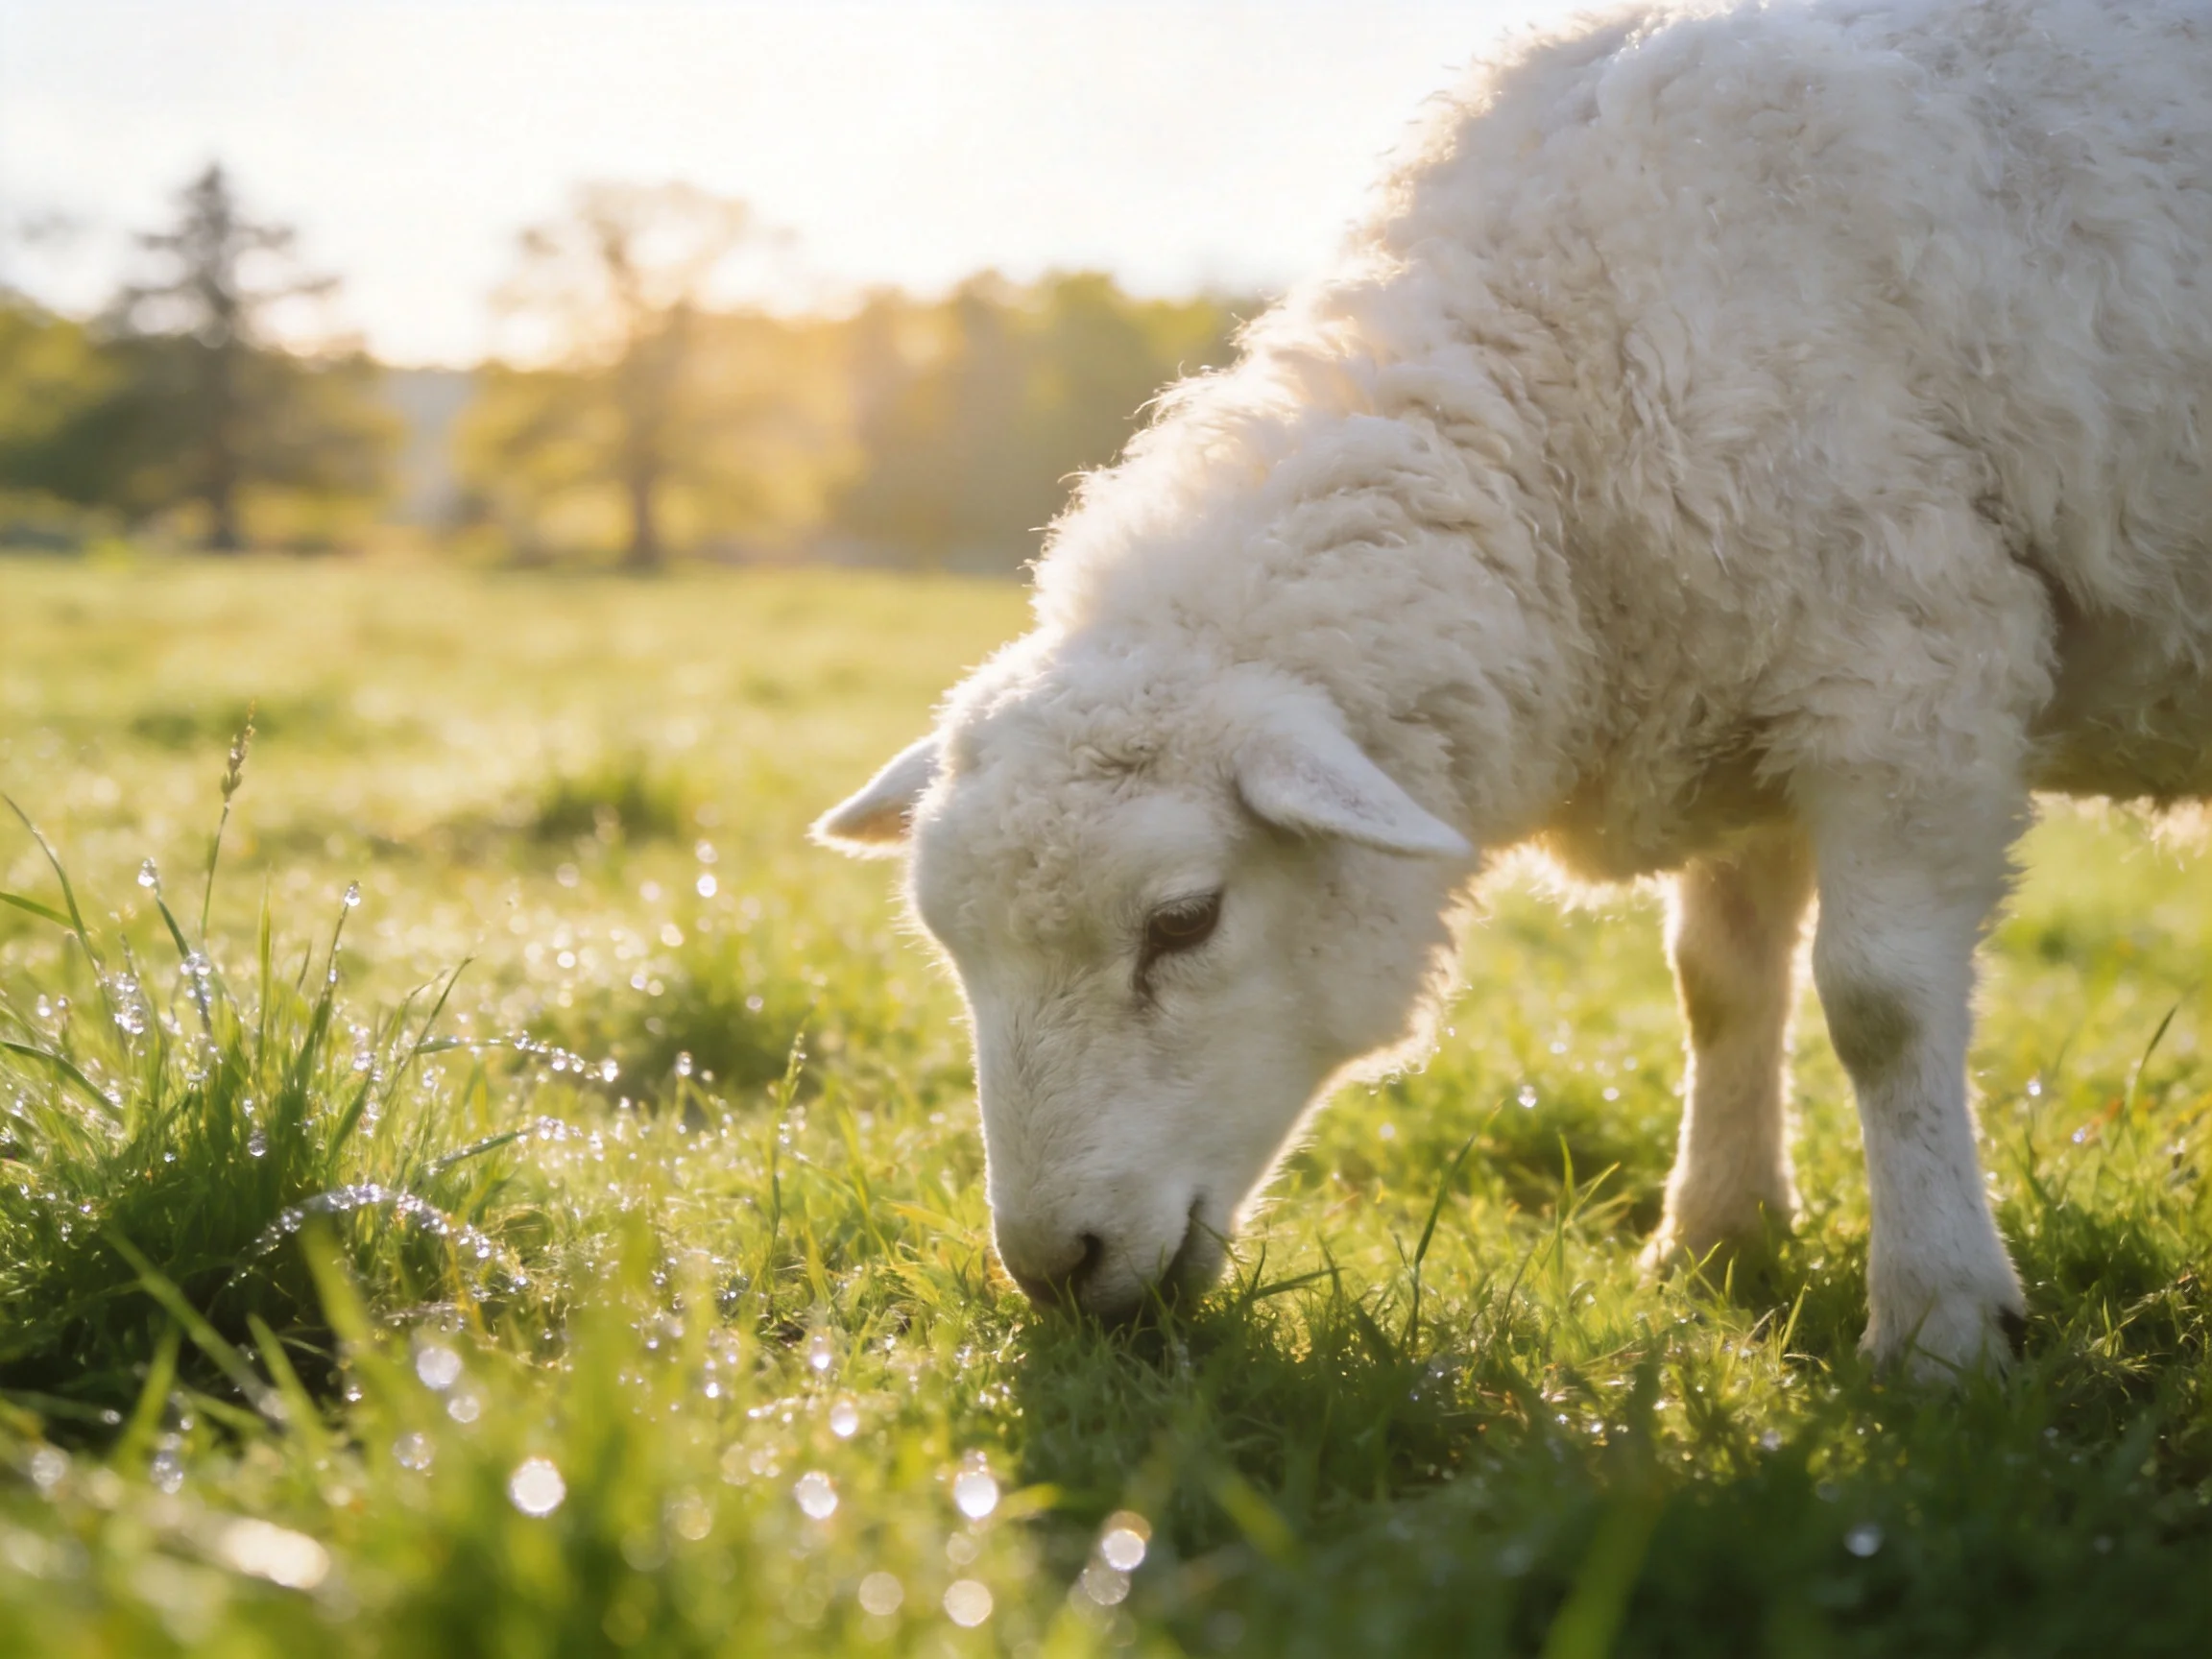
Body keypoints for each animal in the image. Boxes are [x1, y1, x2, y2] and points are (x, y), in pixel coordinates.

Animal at [817, 0, 2212, 1378]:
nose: (1055, 1270)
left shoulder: (1909, 666)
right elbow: (1721, 983)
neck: (1569, 385)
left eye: (1184, 921)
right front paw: (1714, 1241)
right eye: (949, 943)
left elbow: (1879, 1005)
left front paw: (1940, 1322)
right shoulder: (1752, 673)